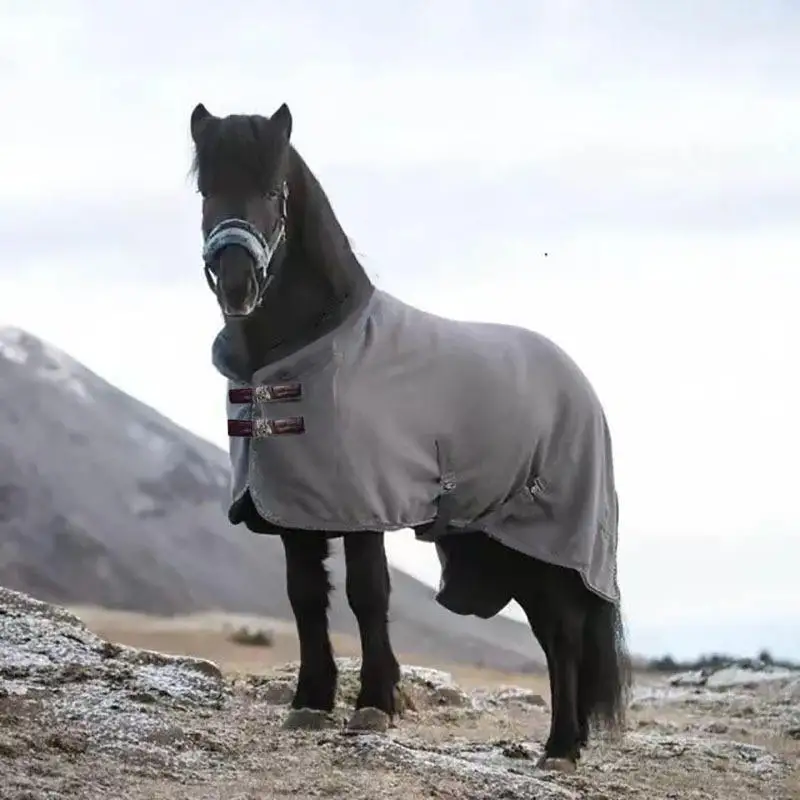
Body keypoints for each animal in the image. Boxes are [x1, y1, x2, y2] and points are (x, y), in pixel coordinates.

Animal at [189, 101, 631, 771]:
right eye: (206, 189)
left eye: (272, 191)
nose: (237, 282)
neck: (308, 348)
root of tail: (580, 385)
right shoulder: (295, 509)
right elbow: (304, 596)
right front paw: (311, 702)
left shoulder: (363, 505)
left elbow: (368, 594)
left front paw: (374, 703)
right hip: (513, 547)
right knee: (560, 635)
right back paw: (571, 740)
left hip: (550, 541)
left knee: (561, 632)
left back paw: (558, 747)